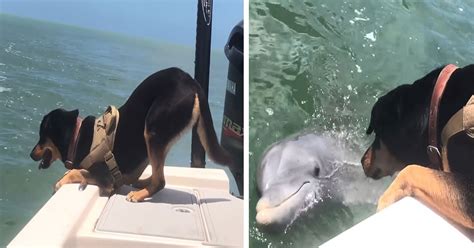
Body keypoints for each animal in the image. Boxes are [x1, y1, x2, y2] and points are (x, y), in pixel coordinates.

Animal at [29, 67, 233, 202]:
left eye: (41, 136)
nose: (31, 155)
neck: (77, 138)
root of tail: (190, 81)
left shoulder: (106, 179)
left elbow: (75, 173)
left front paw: (59, 183)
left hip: (153, 129)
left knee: (161, 181)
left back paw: (139, 195)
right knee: (156, 174)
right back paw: (141, 183)